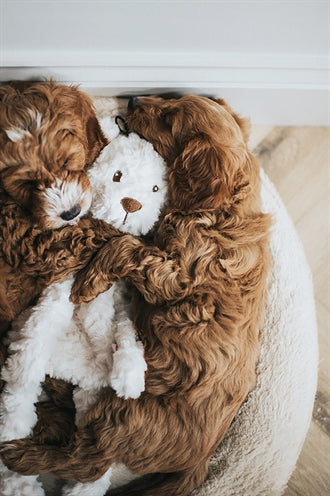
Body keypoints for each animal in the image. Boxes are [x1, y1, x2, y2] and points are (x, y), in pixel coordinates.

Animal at [0, 96, 270, 496]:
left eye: (169, 119)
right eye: (171, 98)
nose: (132, 99)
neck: (223, 212)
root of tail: (201, 461)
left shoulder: (177, 275)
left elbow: (127, 244)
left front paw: (87, 283)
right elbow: (125, 241)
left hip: (127, 413)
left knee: (88, 461)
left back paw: (22, 452)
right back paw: (50, 408)